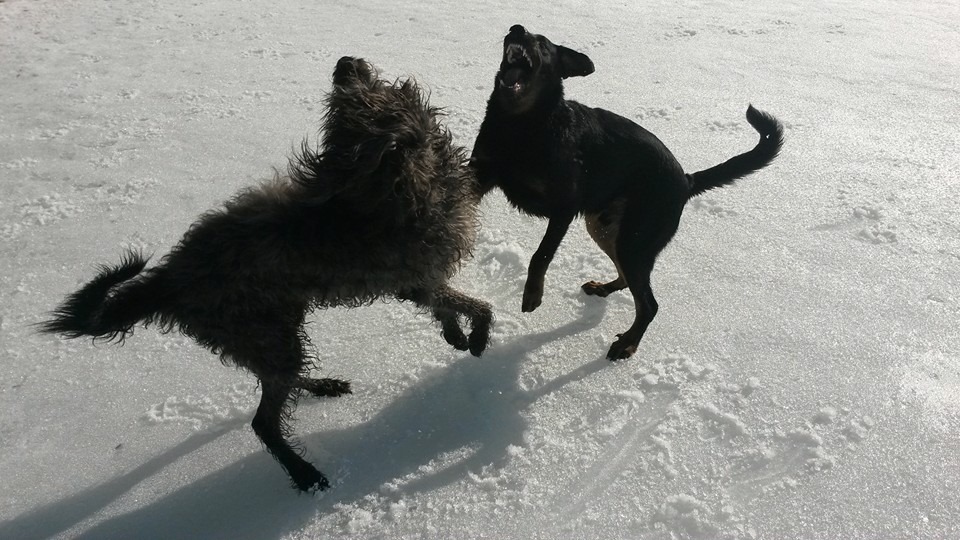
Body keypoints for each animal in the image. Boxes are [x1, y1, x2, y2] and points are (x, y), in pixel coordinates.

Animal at [40, 57, 492, 492]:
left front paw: (455, 335)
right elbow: (480, 306)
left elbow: (444, 304)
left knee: (280, 381)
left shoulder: (418, 281)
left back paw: (321, 387)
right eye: (353, 100)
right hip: (262, 331)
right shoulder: (416, 275)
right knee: (264, 421)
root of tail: (169, 280)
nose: (345, 61)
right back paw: (305, 474)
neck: (402, 183)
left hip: (272, 330)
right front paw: (477, 339)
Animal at [470, 27, 780, 360]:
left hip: (635, 239)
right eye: (518, 32)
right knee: (627, 277)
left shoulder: (565, 205)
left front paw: (532, 294)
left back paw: (628, 342)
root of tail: (686, 181)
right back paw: (605, 288)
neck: (520, 124)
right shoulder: (481, 173)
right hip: (608, 229)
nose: (516, 29)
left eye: (541, 44)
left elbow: (541, 254)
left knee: (649, 304)